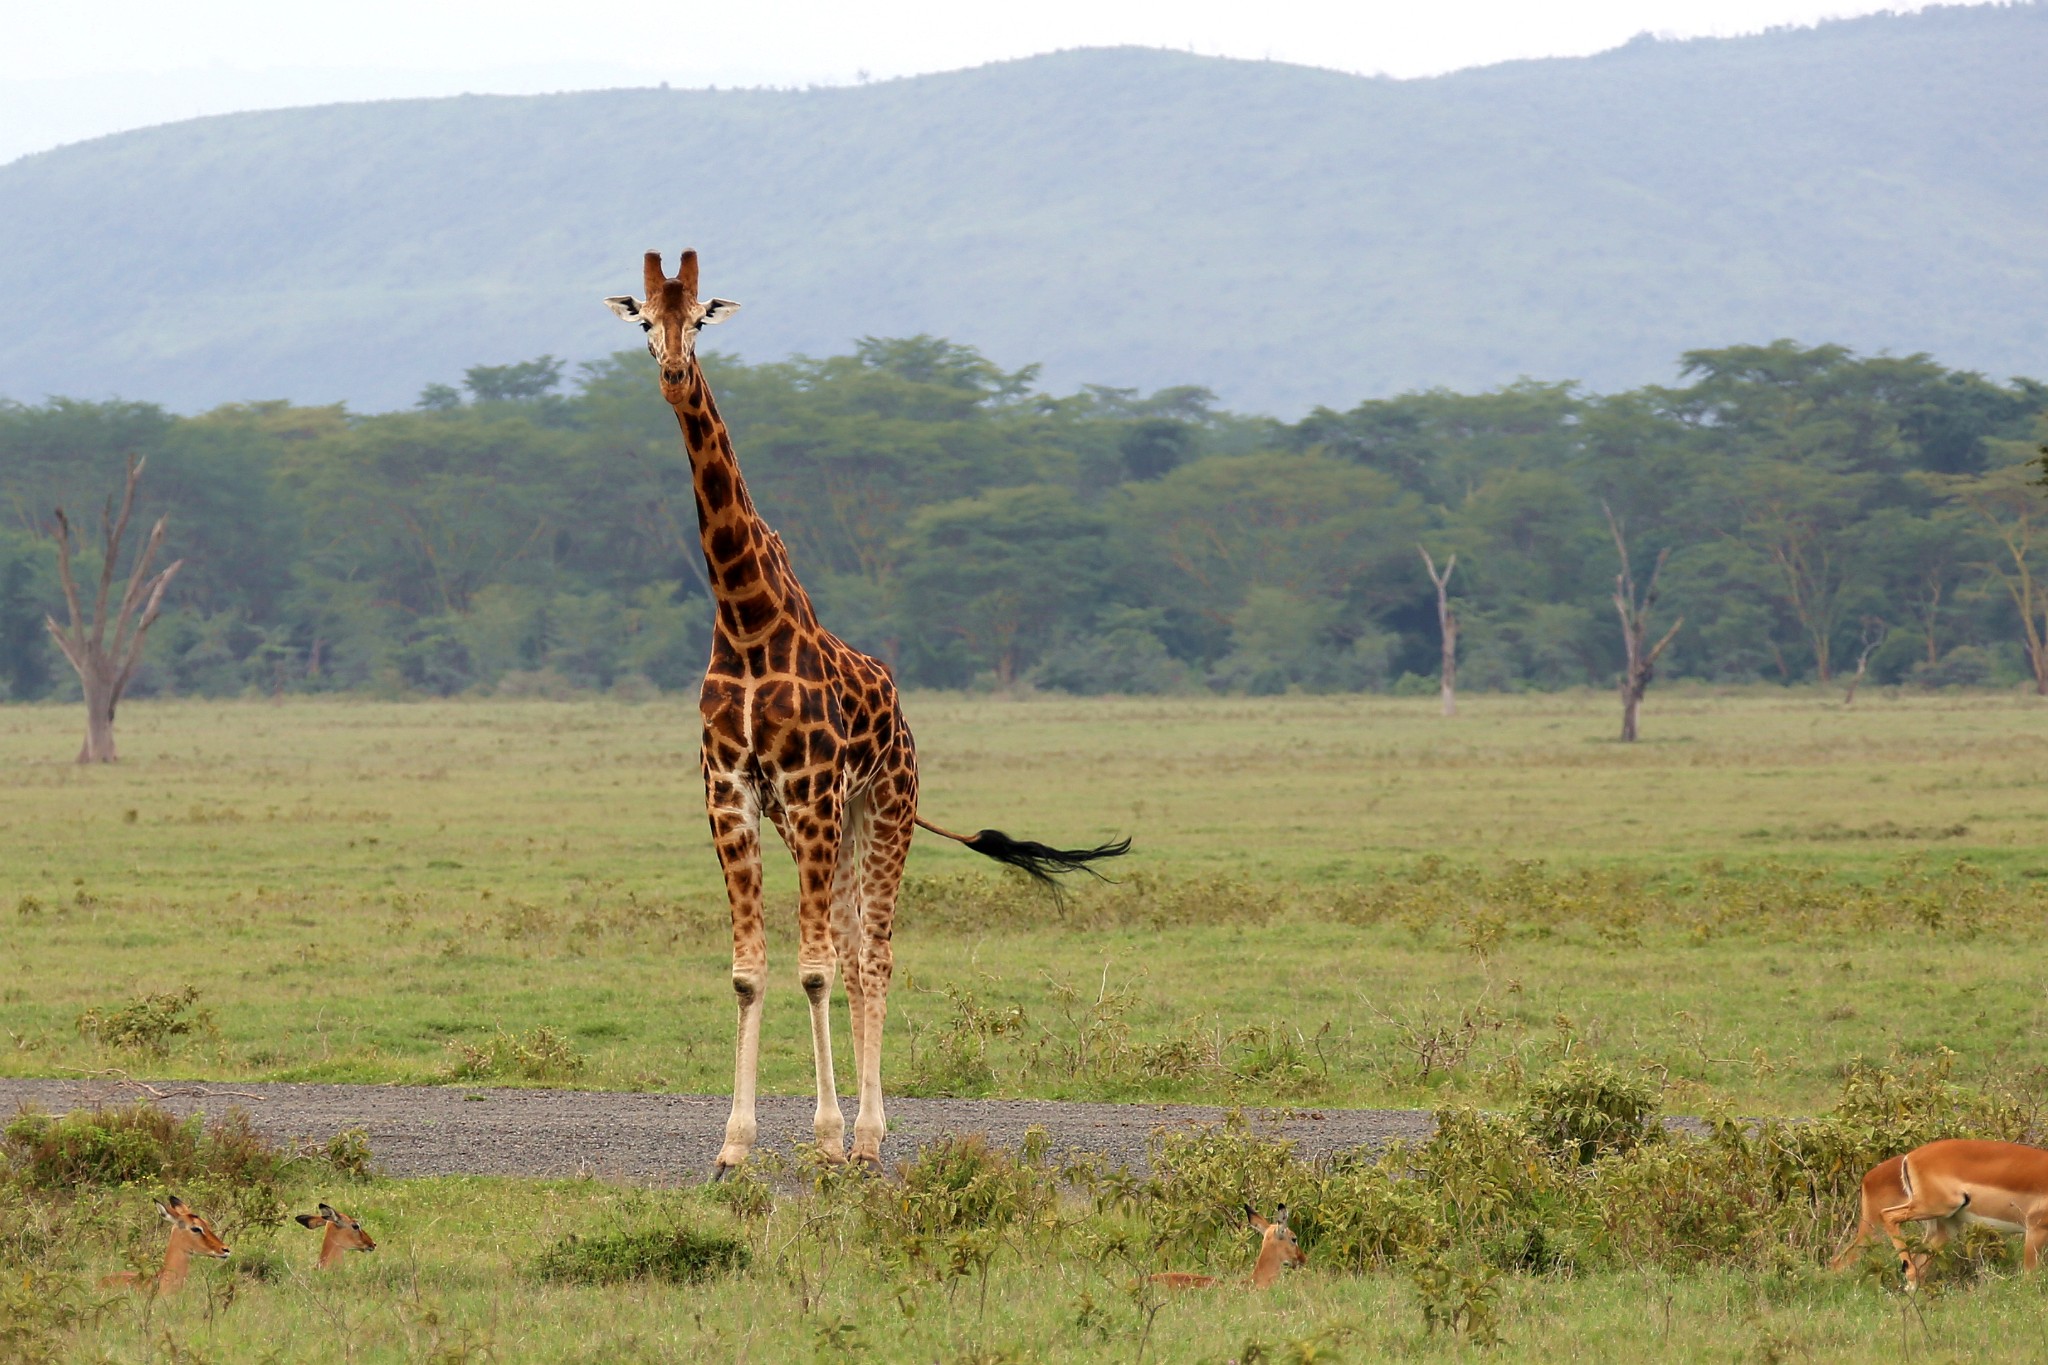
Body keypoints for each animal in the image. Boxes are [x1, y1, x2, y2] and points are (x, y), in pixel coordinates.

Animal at [606, 248, 1130, 1178]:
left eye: (699, 318)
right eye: (644, 322)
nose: (671, 373)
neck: (746, 620)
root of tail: (905, 720)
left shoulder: (810, 790)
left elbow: (814, 967)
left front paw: (821, 1137)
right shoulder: (732, 795)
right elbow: (752, 970)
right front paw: (735, 1144)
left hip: (882, 808)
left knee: (873, 953)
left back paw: (870, 1136)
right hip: (831, 821)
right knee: (853, 949)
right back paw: (859, 1131)